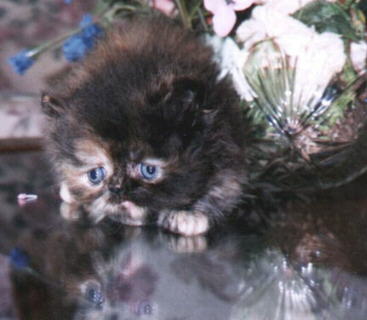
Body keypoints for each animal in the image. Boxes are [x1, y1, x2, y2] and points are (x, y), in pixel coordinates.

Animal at [41, 16, 249, 236]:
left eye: (148, 170)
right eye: (95, 175)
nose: (116, 188)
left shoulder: (227, 146)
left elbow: (225, 188)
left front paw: (190, 215)